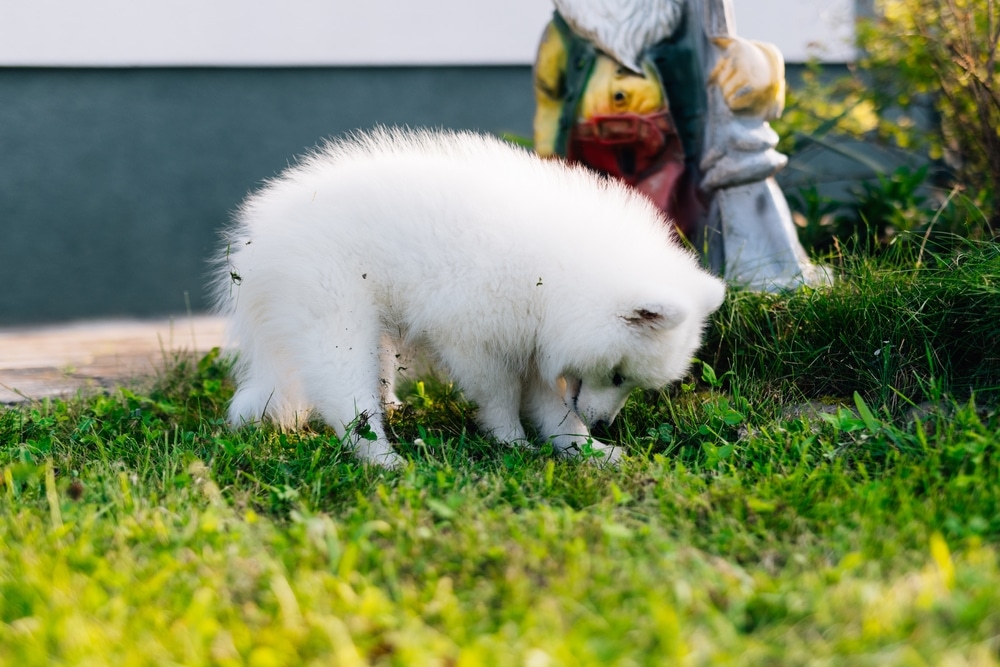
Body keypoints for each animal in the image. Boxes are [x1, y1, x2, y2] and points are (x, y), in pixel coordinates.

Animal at [213, 128, 728, 468]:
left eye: (629, 382)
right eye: (618, 374)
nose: (605, 426)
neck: (560, 276)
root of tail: (256, 241)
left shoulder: (534, 341)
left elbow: (555, 409)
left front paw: (587, 450)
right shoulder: (476, 338)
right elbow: (500, 397)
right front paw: (514, 444)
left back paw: (392, 409)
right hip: (337, 319)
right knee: (345, 400)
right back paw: (385, 460)